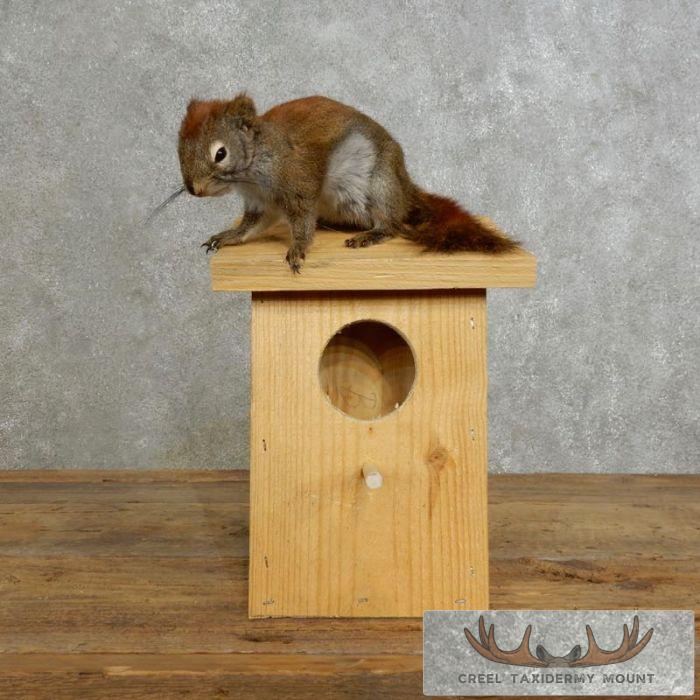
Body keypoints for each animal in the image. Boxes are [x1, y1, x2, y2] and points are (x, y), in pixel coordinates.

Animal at [177, 94, 518, 272]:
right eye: (178, 149)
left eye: (220, 153)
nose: (194, 189)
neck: (252, 173)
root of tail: (405, 188)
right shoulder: (261, 204)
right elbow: (251, 226)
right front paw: (228, 236)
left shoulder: (300, 182)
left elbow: (302, 222)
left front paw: (297, 248)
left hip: (380, 185)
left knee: (393, 224)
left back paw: (371, 234)